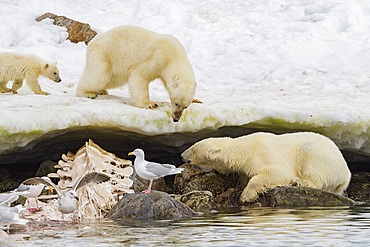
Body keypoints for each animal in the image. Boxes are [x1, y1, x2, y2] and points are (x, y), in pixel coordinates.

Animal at [182, 132, 352, 202]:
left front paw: (246, 196)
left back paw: (301, 182)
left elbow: (278, 172)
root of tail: (346, 174)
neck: (244, 149)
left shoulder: (264, 153)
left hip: (320, 155)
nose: (182, 155)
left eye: (193, 148)